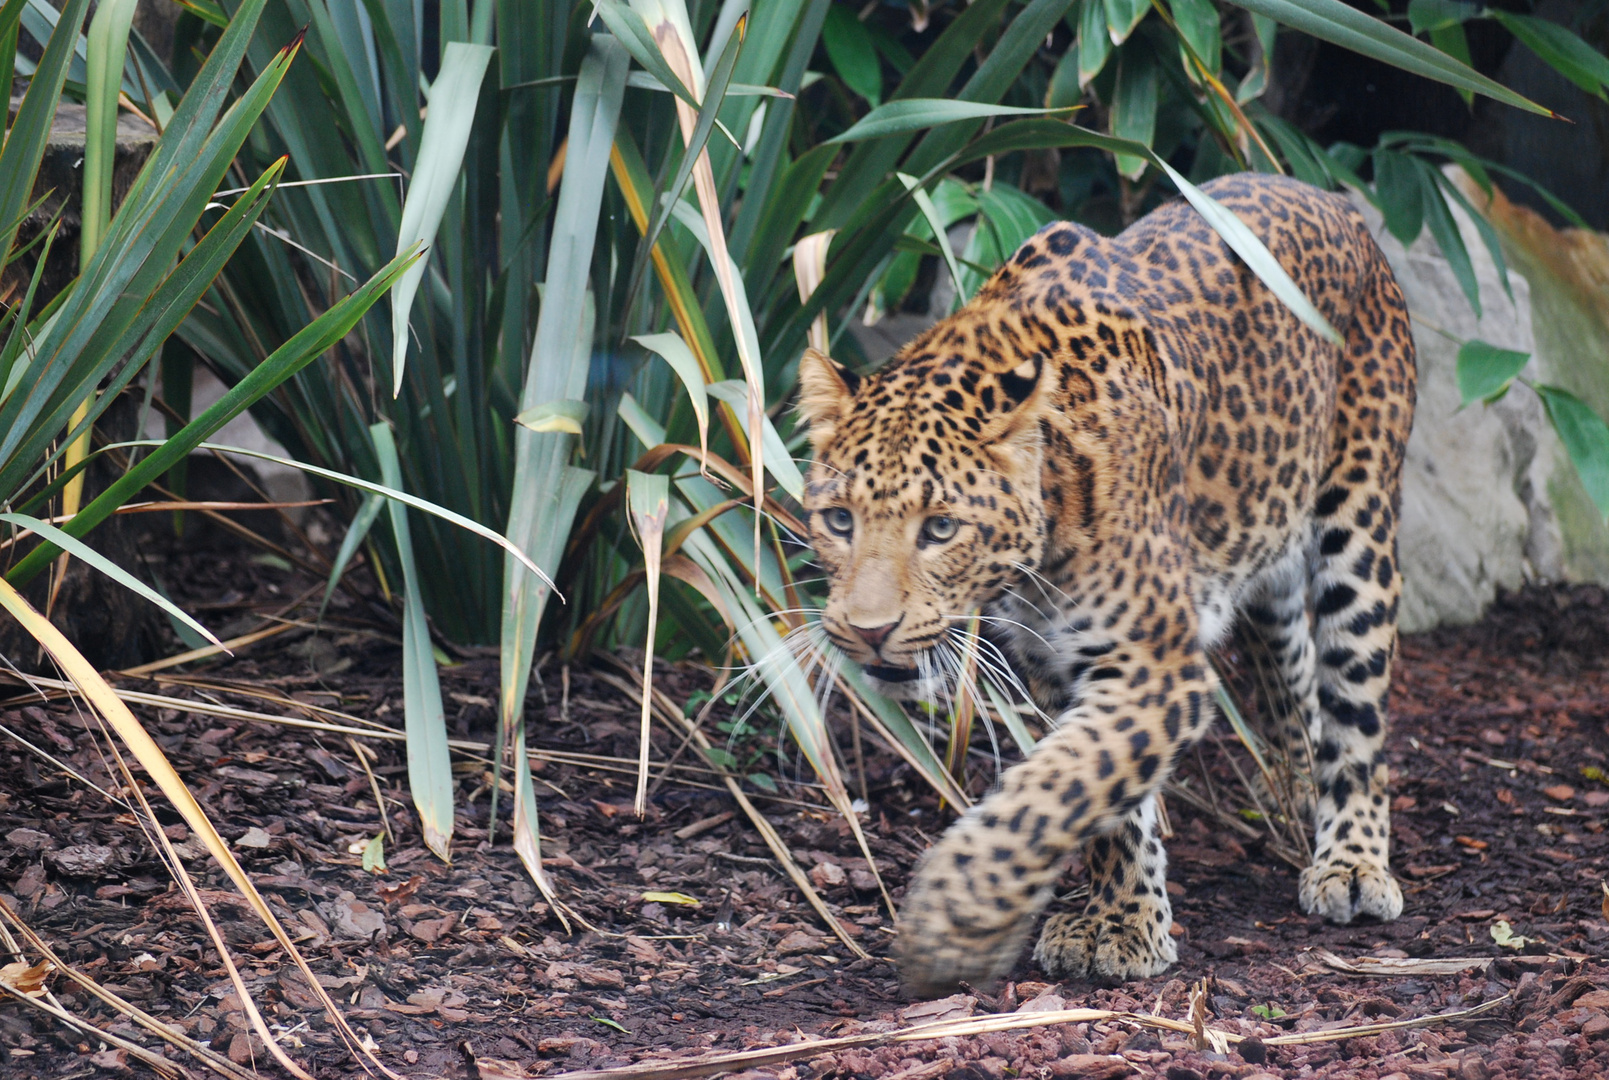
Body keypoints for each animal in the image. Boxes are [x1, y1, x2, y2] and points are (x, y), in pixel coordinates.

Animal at [798, 171, 1415, 997]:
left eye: (939, 529)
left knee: (1357, 710)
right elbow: (1101, 801)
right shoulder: (1060, 666)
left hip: (1358, 517)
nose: (868, 631)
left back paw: (1349, 863)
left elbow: (1056, 788)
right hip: (1266, 538)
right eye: (838, 519)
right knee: (1287, 670)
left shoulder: (1155, 665)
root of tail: (1325, 196)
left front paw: (953, 926)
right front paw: (1119, 918)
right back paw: (1290, 790)